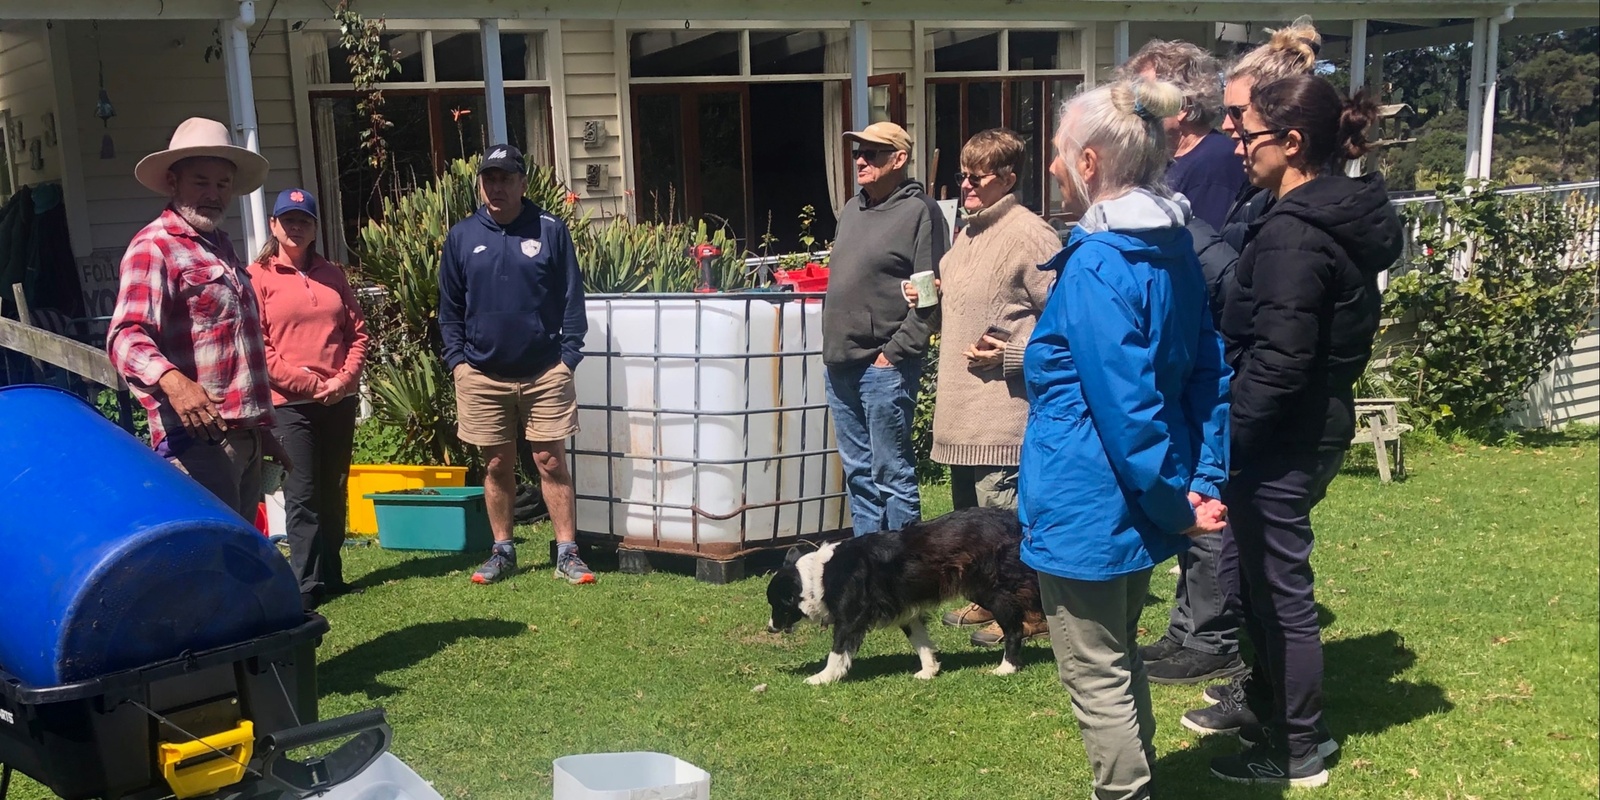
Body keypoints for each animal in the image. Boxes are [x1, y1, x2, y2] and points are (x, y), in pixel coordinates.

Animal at [764, 508, 1043, 684]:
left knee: (1014, 628)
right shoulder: (908, 612)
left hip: (989, 591)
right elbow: (920, 642)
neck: (818, 576)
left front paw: (823, 677)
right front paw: (929, 670)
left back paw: (1007, 667)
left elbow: (837, 650)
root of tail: (1015, 522)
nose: (769, 628)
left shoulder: (850, 618)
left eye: (777, 604)